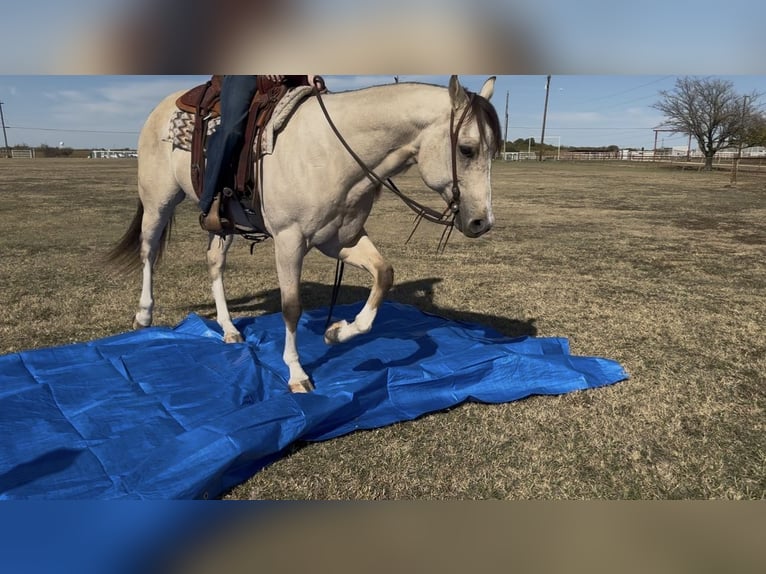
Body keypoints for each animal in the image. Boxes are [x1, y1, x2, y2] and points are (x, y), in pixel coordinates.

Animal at [109, 75, 501, 393]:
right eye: (467, 149)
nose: (482, 222)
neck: (332, 153)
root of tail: (162, 107)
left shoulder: (339, 240)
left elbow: (384, 274)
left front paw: (337, 332)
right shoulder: (289, 240)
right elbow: (291, 307)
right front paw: (297, 373)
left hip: (222, 225)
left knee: (214, 263)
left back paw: (228, 328)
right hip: (158, 202)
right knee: (148, 252)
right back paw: (144, 316)